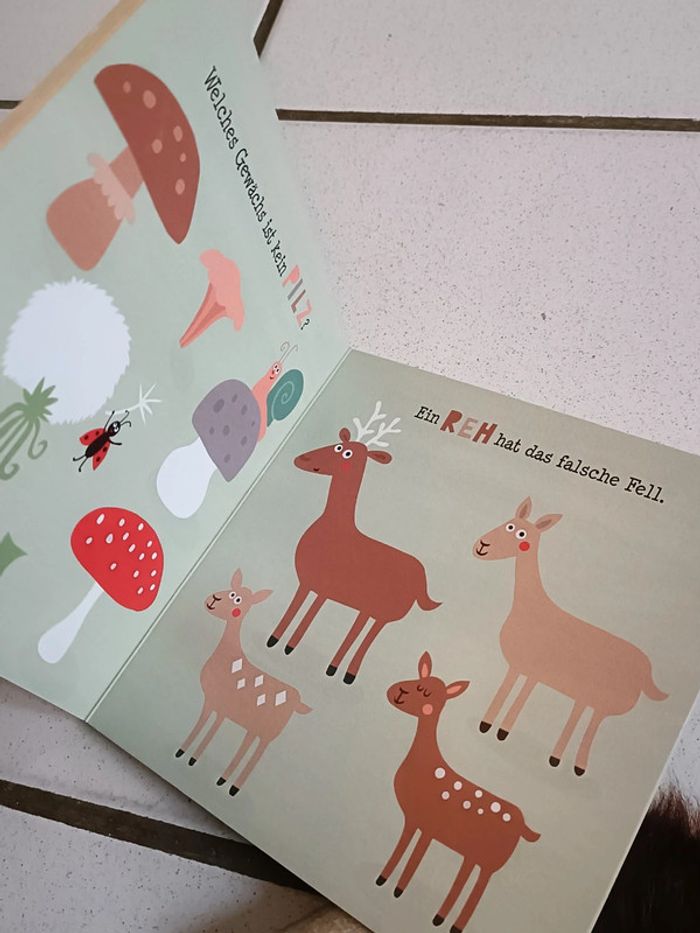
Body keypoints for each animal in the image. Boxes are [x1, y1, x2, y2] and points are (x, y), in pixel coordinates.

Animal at [175, 568, 311, 795]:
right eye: (231, 591)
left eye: (237, 599)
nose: (214, 598)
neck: (229, 655)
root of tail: (296, 701)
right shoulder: (212, 703)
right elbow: (203, 723)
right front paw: (182, 752)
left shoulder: (222, 706)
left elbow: (211, 729)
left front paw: (192, 758)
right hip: (254, 726)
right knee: (249, 743)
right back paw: (224, 780)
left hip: (267, 732)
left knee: (258, 752)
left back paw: (233, 787)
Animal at [267, 401, 440, 684]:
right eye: (338, 445)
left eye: (345, 452)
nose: (302, 459)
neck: (335, 527)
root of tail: (421, 577)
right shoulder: (308, 584)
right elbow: (297, 607)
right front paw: (276, 640)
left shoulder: (324, 588)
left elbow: (310, 612)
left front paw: (288, 646)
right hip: (371, 608)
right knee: (361, 627)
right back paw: (335, 668)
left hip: (385, 613)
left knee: (369, 635)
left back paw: (346, 673)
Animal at [378, 652, 539, 932]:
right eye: (418, 680)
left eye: (426, 693)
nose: (397, 692)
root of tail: (522, 824)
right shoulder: (414, 821)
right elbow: (404, 846)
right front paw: (384, 879)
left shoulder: (429, 826)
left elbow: (416, 854)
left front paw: (398, 889)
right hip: (474, 854)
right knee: (467, 875)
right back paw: (441, 917)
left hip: (489, 862)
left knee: (480, 886)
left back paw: (451, 922)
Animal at [473, 497, 668, 776]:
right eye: (508, 524)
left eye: (521, 535)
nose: (482, 545)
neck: (530, 606)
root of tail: (646, 668)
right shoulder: (519, 668)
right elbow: (506, 690)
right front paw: (487, 725)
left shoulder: (534, 672)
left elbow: (520, 697)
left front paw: (502, 731)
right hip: (587, 694)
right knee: (581, 713)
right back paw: (557, 759)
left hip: (606, 700)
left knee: (594, 722)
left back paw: (577, 766)